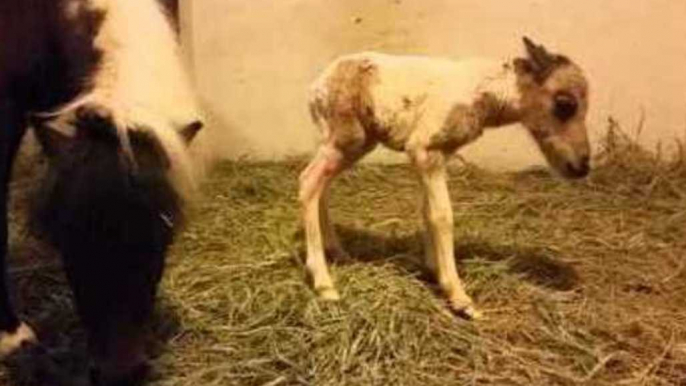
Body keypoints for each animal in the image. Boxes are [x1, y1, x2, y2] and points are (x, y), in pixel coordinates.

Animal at [300, 37, 592, 320]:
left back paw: (338, 253)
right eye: (565, 104)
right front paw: (460, 299)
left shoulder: (436, 155)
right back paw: (324, 283)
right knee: (308, 181)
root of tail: (315, 88)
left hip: (355, 144)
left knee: (321, 184)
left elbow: (427, 211)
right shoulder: (424, 149)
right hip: (346, 139)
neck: (483, 93)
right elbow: (442, 216)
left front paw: (433, 270)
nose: (581, 165)